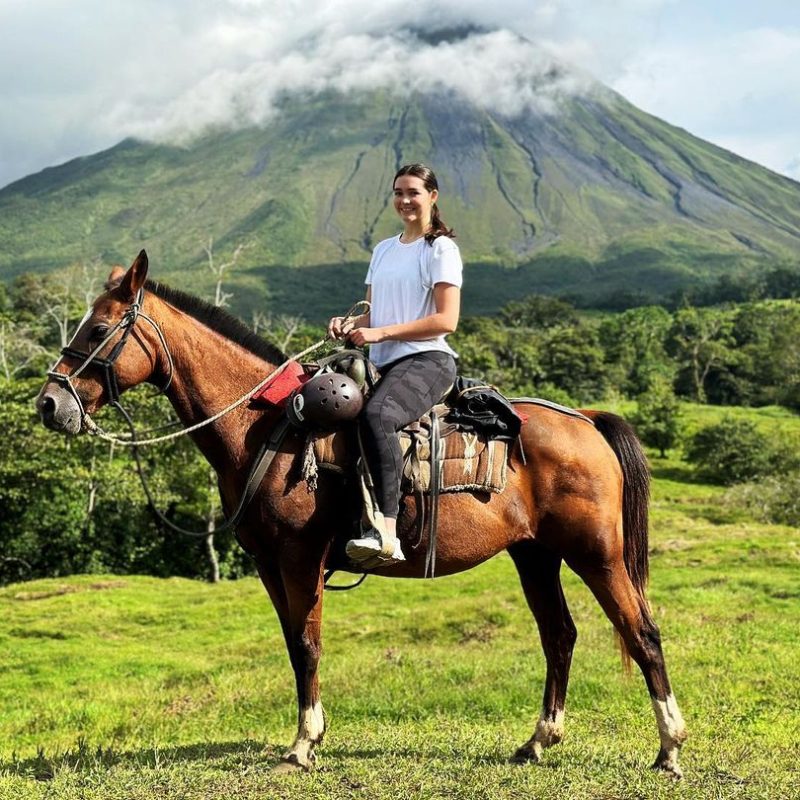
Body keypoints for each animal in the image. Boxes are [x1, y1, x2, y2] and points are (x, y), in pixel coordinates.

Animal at [37, 252, 688, 776]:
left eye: (98, 328)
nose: (48, 404)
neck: (267, 428)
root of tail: (587, 420)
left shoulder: (300, 557)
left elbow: (308, 643)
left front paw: (304, 745)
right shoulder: (269, 564)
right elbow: (293, 644)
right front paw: (308, 734)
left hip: (596, 553)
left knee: (643, 633)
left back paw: (669, 749)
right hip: (536, 554)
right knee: (560, 635)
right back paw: (538, 742)